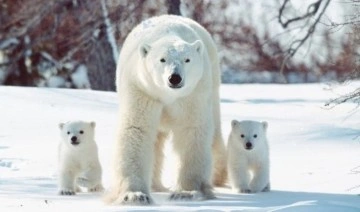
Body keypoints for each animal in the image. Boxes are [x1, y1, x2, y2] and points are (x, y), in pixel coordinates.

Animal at [105, 14, 226, 205]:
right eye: (162, 59)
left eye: (187, 59)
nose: (174, 78)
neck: (167, 95)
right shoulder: (142, 89)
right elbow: (137, 129)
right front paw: (135, 195)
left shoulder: (193, 94)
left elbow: (192, 130)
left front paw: (187, 192)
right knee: (156, 141)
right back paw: (155, 185)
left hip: (212, 83)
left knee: (214, 133)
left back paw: (218, 178)